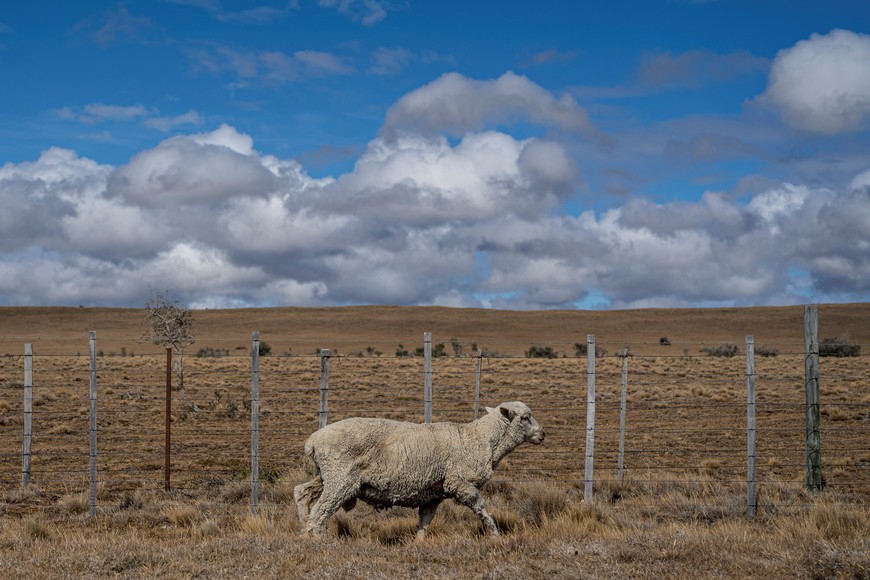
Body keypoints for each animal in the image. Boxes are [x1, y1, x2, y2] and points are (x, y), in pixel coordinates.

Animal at [294, 401, 545, 538]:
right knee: (321, 511)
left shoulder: (434, 492)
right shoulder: (460, 482)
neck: (477, 439)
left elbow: (425, 520)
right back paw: (320, 539)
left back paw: (303, 529)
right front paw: (494, 535)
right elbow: (481, 508)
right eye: (525, 417)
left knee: (301, 492)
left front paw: (418, 542)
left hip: (327, 476)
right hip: (341, 480)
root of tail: (313, 441)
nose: (543, 434)